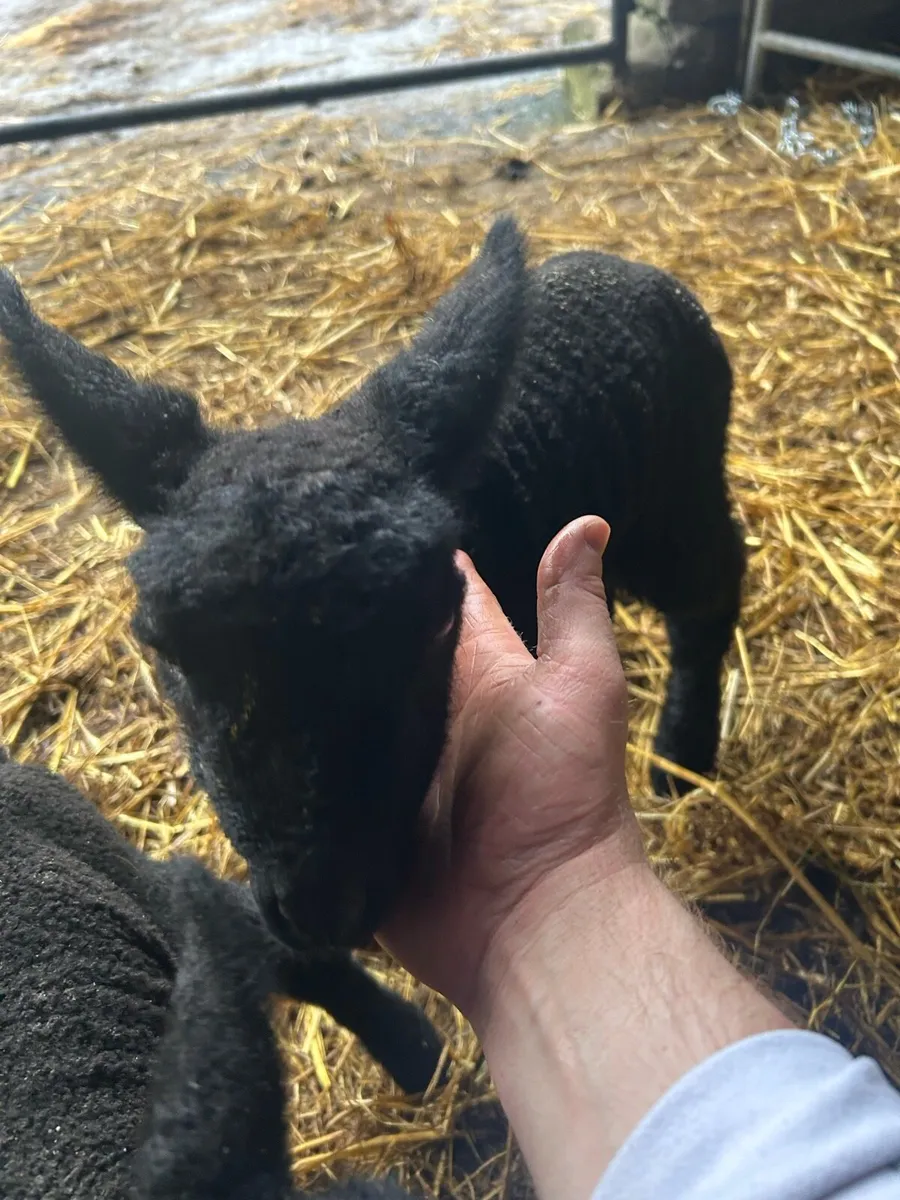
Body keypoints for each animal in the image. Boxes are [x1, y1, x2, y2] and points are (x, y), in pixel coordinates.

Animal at [0, 216, 745, 958]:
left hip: (677, 496)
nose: (323, 912)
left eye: (439, 624)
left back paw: (681, 750)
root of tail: (625, 267)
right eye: (169, 656)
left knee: (713, 584)